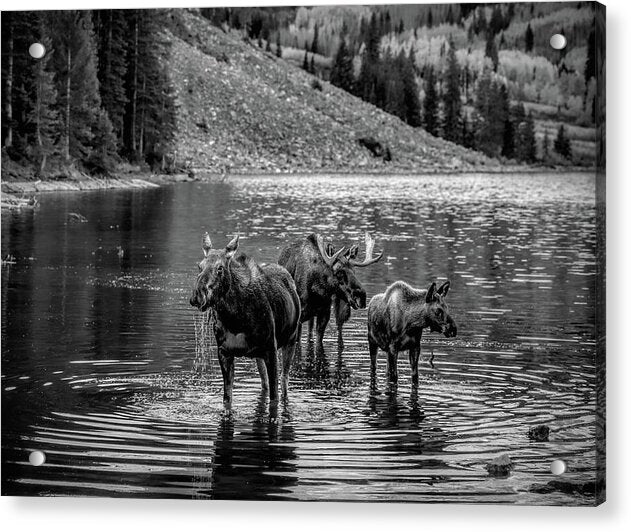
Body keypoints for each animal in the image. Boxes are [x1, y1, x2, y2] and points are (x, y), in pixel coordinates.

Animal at [190, 231, 302, 406]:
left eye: (220, 268)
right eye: (199, 266)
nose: (197, 295)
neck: (235, 318)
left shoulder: (271, 349)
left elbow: (274, 397)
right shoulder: (224, 352)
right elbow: (227, 399)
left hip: (291, 340)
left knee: (284, 382)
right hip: (259, 355)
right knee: (265, 384)